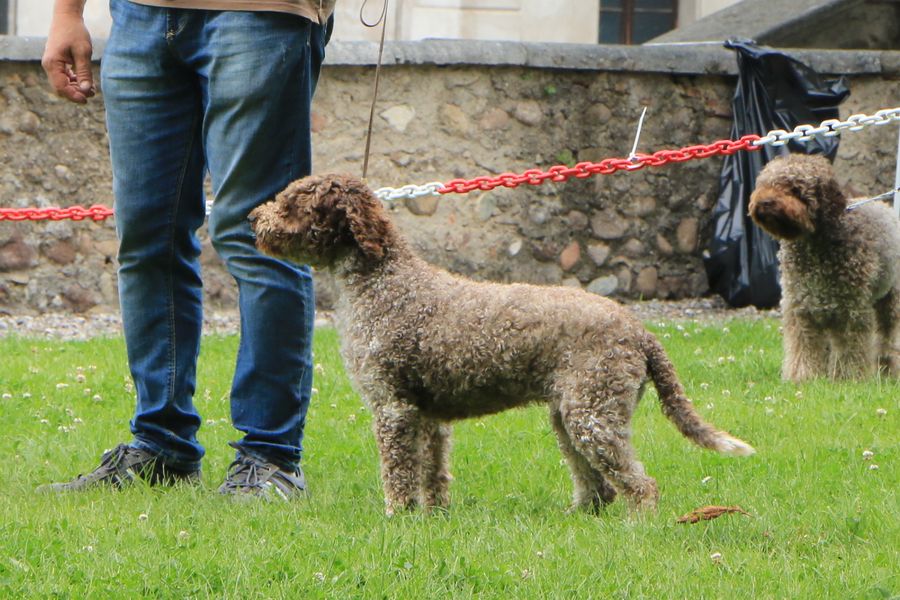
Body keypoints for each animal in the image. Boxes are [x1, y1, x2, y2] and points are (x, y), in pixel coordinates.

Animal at [250, 174, 754, 515]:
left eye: (292, 202)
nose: (254, 216)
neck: (385, 281)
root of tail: (640, 330)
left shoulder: (392, 408)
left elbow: (399, 473)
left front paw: (397, 515)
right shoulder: (428, 416)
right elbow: (433, 473)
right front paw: (434, 515)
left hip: (593, 415)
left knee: (638, 485)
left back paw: (637, 522)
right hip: (570, 417)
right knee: (599, 485)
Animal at [749, 153, 900, 381]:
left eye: (795, 188)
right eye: (765, 184)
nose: (765, 202)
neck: (813, 247)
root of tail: (887, 208)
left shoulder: (850, 312)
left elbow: (849, 351)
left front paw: (847, 378)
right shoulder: (801, 310)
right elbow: (802, 349)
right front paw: (801, 377)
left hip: (890, 302)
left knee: (889, 339)